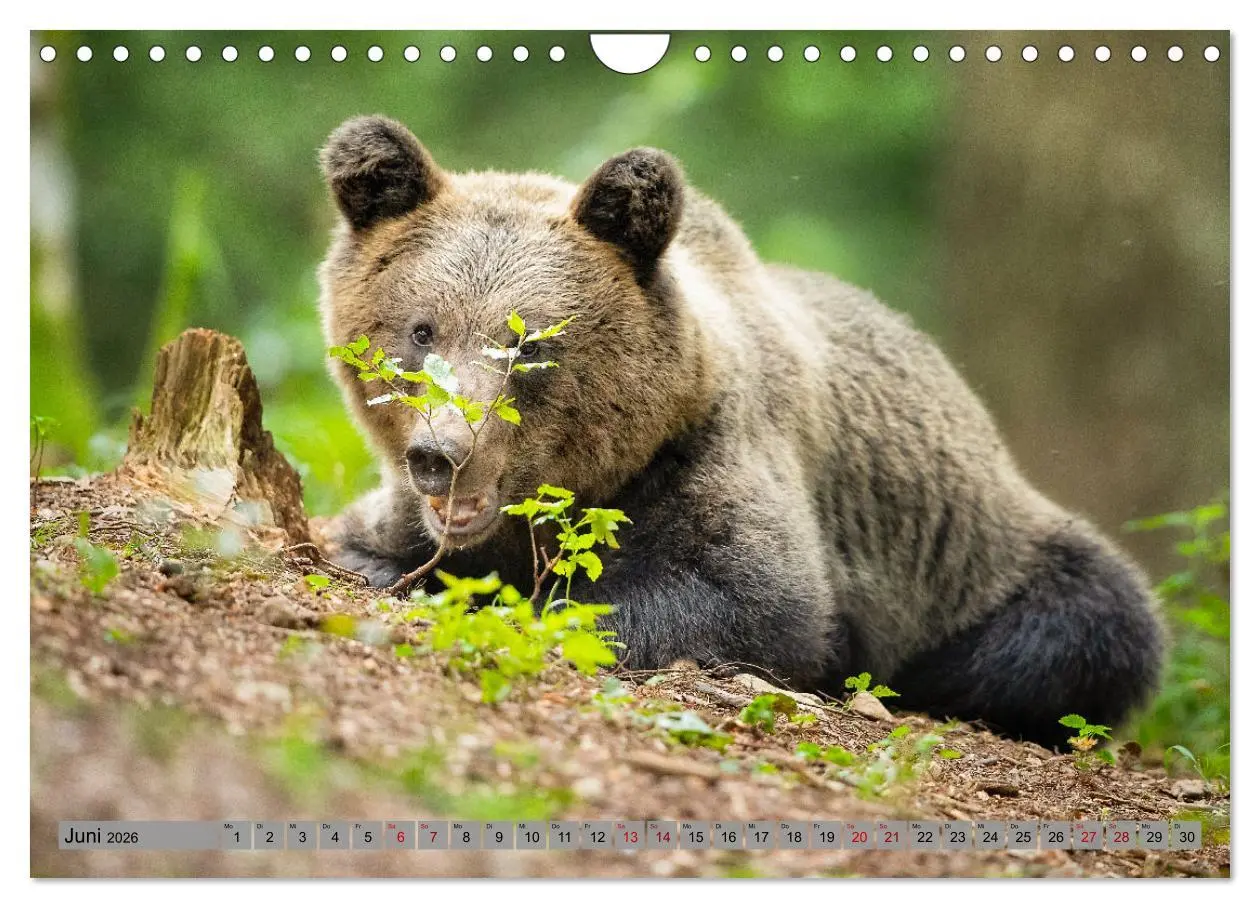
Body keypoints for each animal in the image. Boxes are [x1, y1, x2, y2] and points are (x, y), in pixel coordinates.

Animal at [317, 114, 1165, 747]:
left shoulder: (710, 460)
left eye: (529, 344)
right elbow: (368, 540)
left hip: (986, 557)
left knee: (1092, 621)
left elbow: (757, 600)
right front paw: (382, 565)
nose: (443, 455)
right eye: (422, 329)